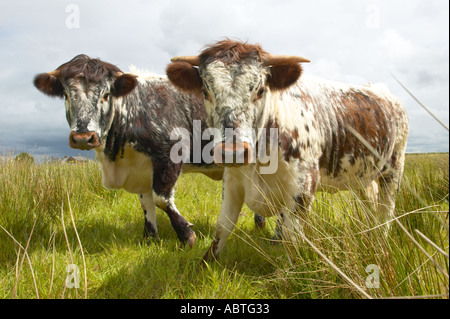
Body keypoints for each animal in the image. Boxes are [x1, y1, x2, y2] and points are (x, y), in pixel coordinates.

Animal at [33, 54, 229, 248]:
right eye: (66, 95)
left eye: (106, 95)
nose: (83, 137)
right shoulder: (142, 169)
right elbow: (146, 203)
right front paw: (149, 238)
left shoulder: (169, 156)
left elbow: (161, 199)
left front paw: (186, 236)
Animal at [167, 38, 410, 262]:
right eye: (205, 91)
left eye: (260, 90)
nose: (233, 152)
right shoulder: (233, 181)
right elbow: (222, 226)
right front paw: (207, 263)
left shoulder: (303, 186)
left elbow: (292, 239)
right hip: (362, 176)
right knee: (370, 204)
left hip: (394, 169)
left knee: (386, 210)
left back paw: (381, 243)